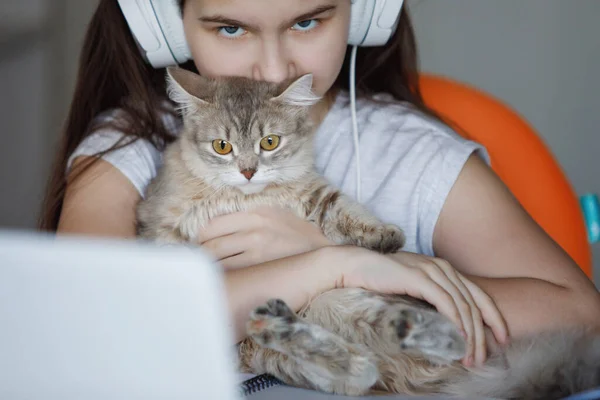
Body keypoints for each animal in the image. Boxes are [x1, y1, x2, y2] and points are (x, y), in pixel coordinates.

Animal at [136, 68, 600, 400]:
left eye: (270, 142)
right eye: (222, 147)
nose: (248, 171)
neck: (248, 199)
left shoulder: (315, 195)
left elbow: (347, 212)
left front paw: (386, 238)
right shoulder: (163, 227)